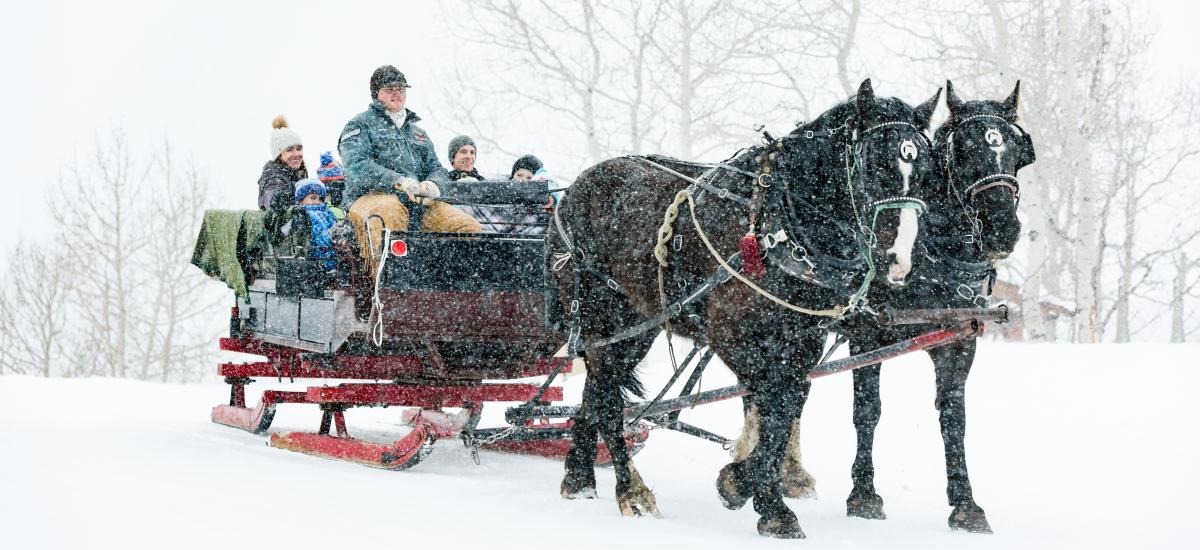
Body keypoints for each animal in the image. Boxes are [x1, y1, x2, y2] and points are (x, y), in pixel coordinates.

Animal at [549, 79, 940, 540]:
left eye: (926, 170)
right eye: (875, 164)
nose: (898, 260)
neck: (775, 226)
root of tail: (573, 190)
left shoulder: (801, 342)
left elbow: (785, 406)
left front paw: (757, 491)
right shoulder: (735, 337)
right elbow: (773, 403)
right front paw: (755, 491)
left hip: (634, 326)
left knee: (596, 388)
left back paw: (579, 477)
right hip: (602, 316)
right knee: (608, 396)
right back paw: (632, 491)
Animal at [772, 80, 1036, 533]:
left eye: (1017, 152)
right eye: (964, 150)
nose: (1002, 228)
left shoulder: (958, 341)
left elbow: (954, 417)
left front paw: (965, 504)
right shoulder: (868, 334)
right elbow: (868, 411)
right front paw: (863, 495)